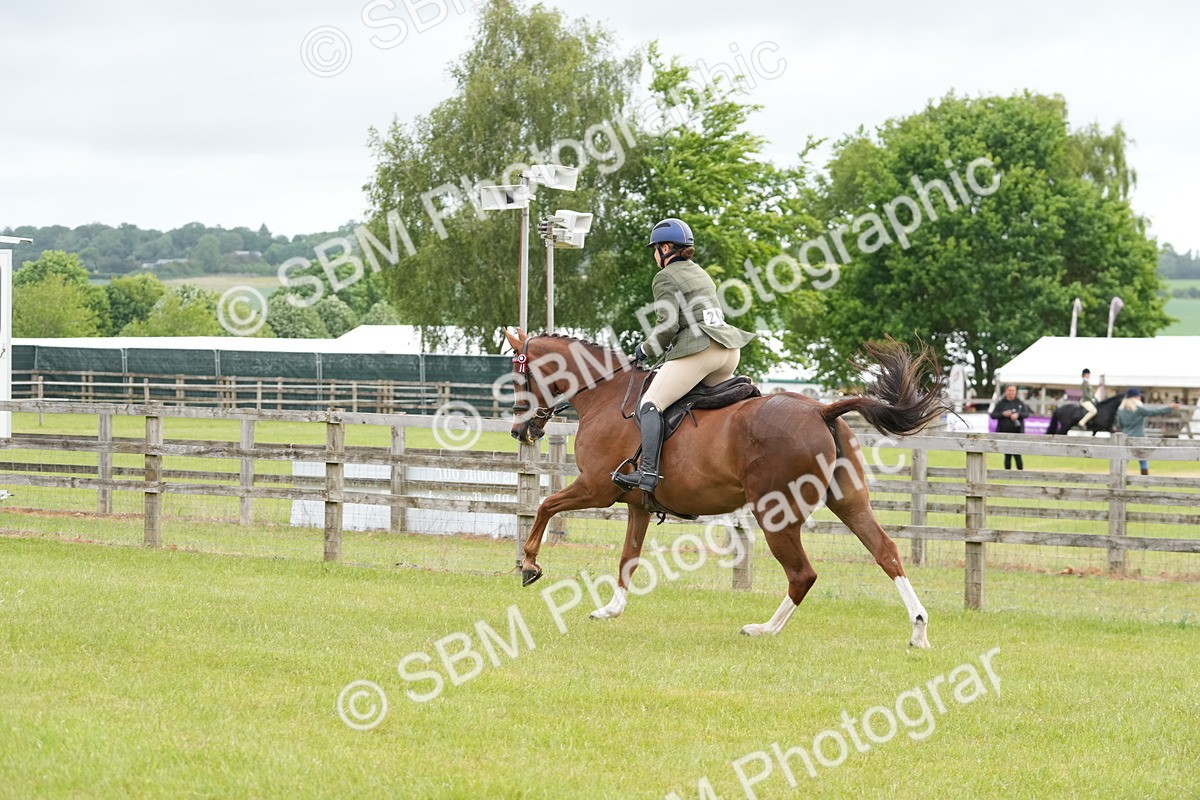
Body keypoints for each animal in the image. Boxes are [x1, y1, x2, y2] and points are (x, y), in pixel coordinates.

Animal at [502, 328, 950, 648]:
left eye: (518, 378)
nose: (520, 431)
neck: (605, 395)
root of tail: (822, 409)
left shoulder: (596, 488)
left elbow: (545, 505)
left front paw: (530, 565)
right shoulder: (637, 505)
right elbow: (628, 557)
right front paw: (610, 610)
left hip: (776, 514)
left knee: (802, 574)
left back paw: (764, 630)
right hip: (849, 503)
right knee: (885, 552)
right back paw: (919, 629)